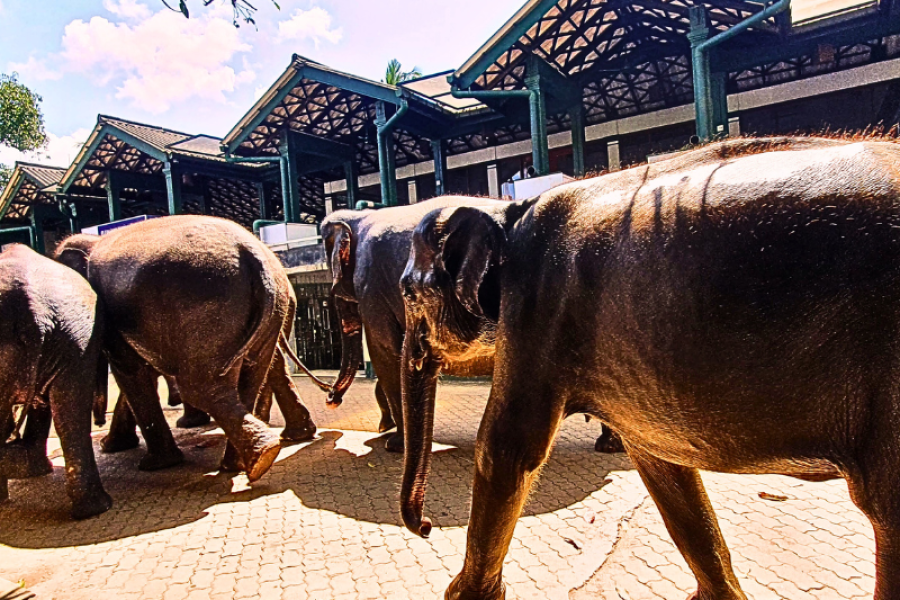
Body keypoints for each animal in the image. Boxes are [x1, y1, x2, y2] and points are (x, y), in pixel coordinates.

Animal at [53, 216, 320, 482]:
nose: (98, 422)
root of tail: (253, 254)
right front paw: (116, 447)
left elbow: (129, 370)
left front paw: (150, 463)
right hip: (269, 309)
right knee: (250, 376)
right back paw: (251, 459)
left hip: (203, 310)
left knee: (198, 387)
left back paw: (256, 456)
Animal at [400, 137, 900, 600]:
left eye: (407, 291)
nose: (425, 526)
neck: (508, 212)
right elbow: (661, 467)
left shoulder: (536, 305)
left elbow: (505, 449)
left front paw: (461, 594)